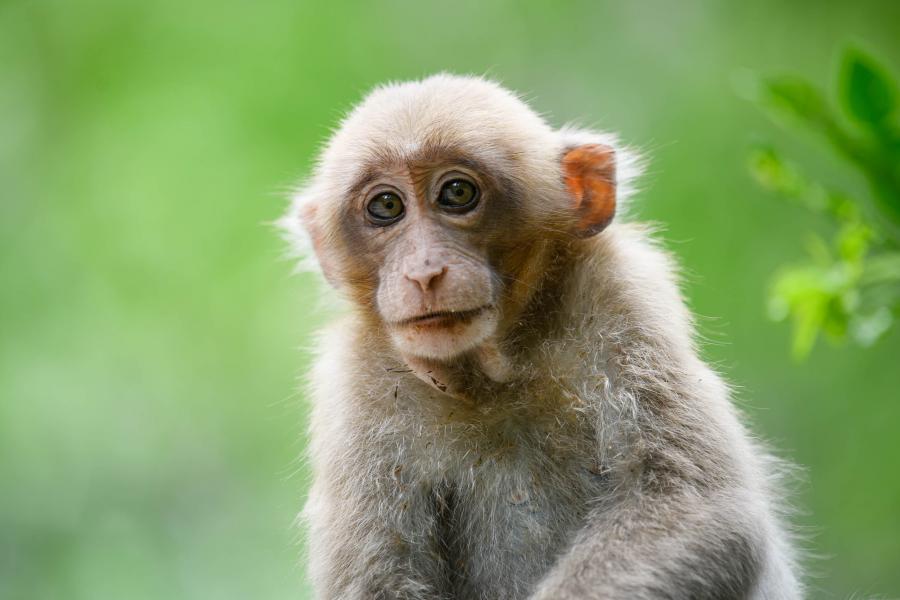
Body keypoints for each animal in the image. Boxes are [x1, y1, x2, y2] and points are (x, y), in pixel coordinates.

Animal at [282, 75, 800, 600]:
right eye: (386, 206)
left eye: (456, 192)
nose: (425, 272)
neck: (490, 376)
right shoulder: (356, 386)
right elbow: (381, 577)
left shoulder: (619, 295)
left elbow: (696, 506)